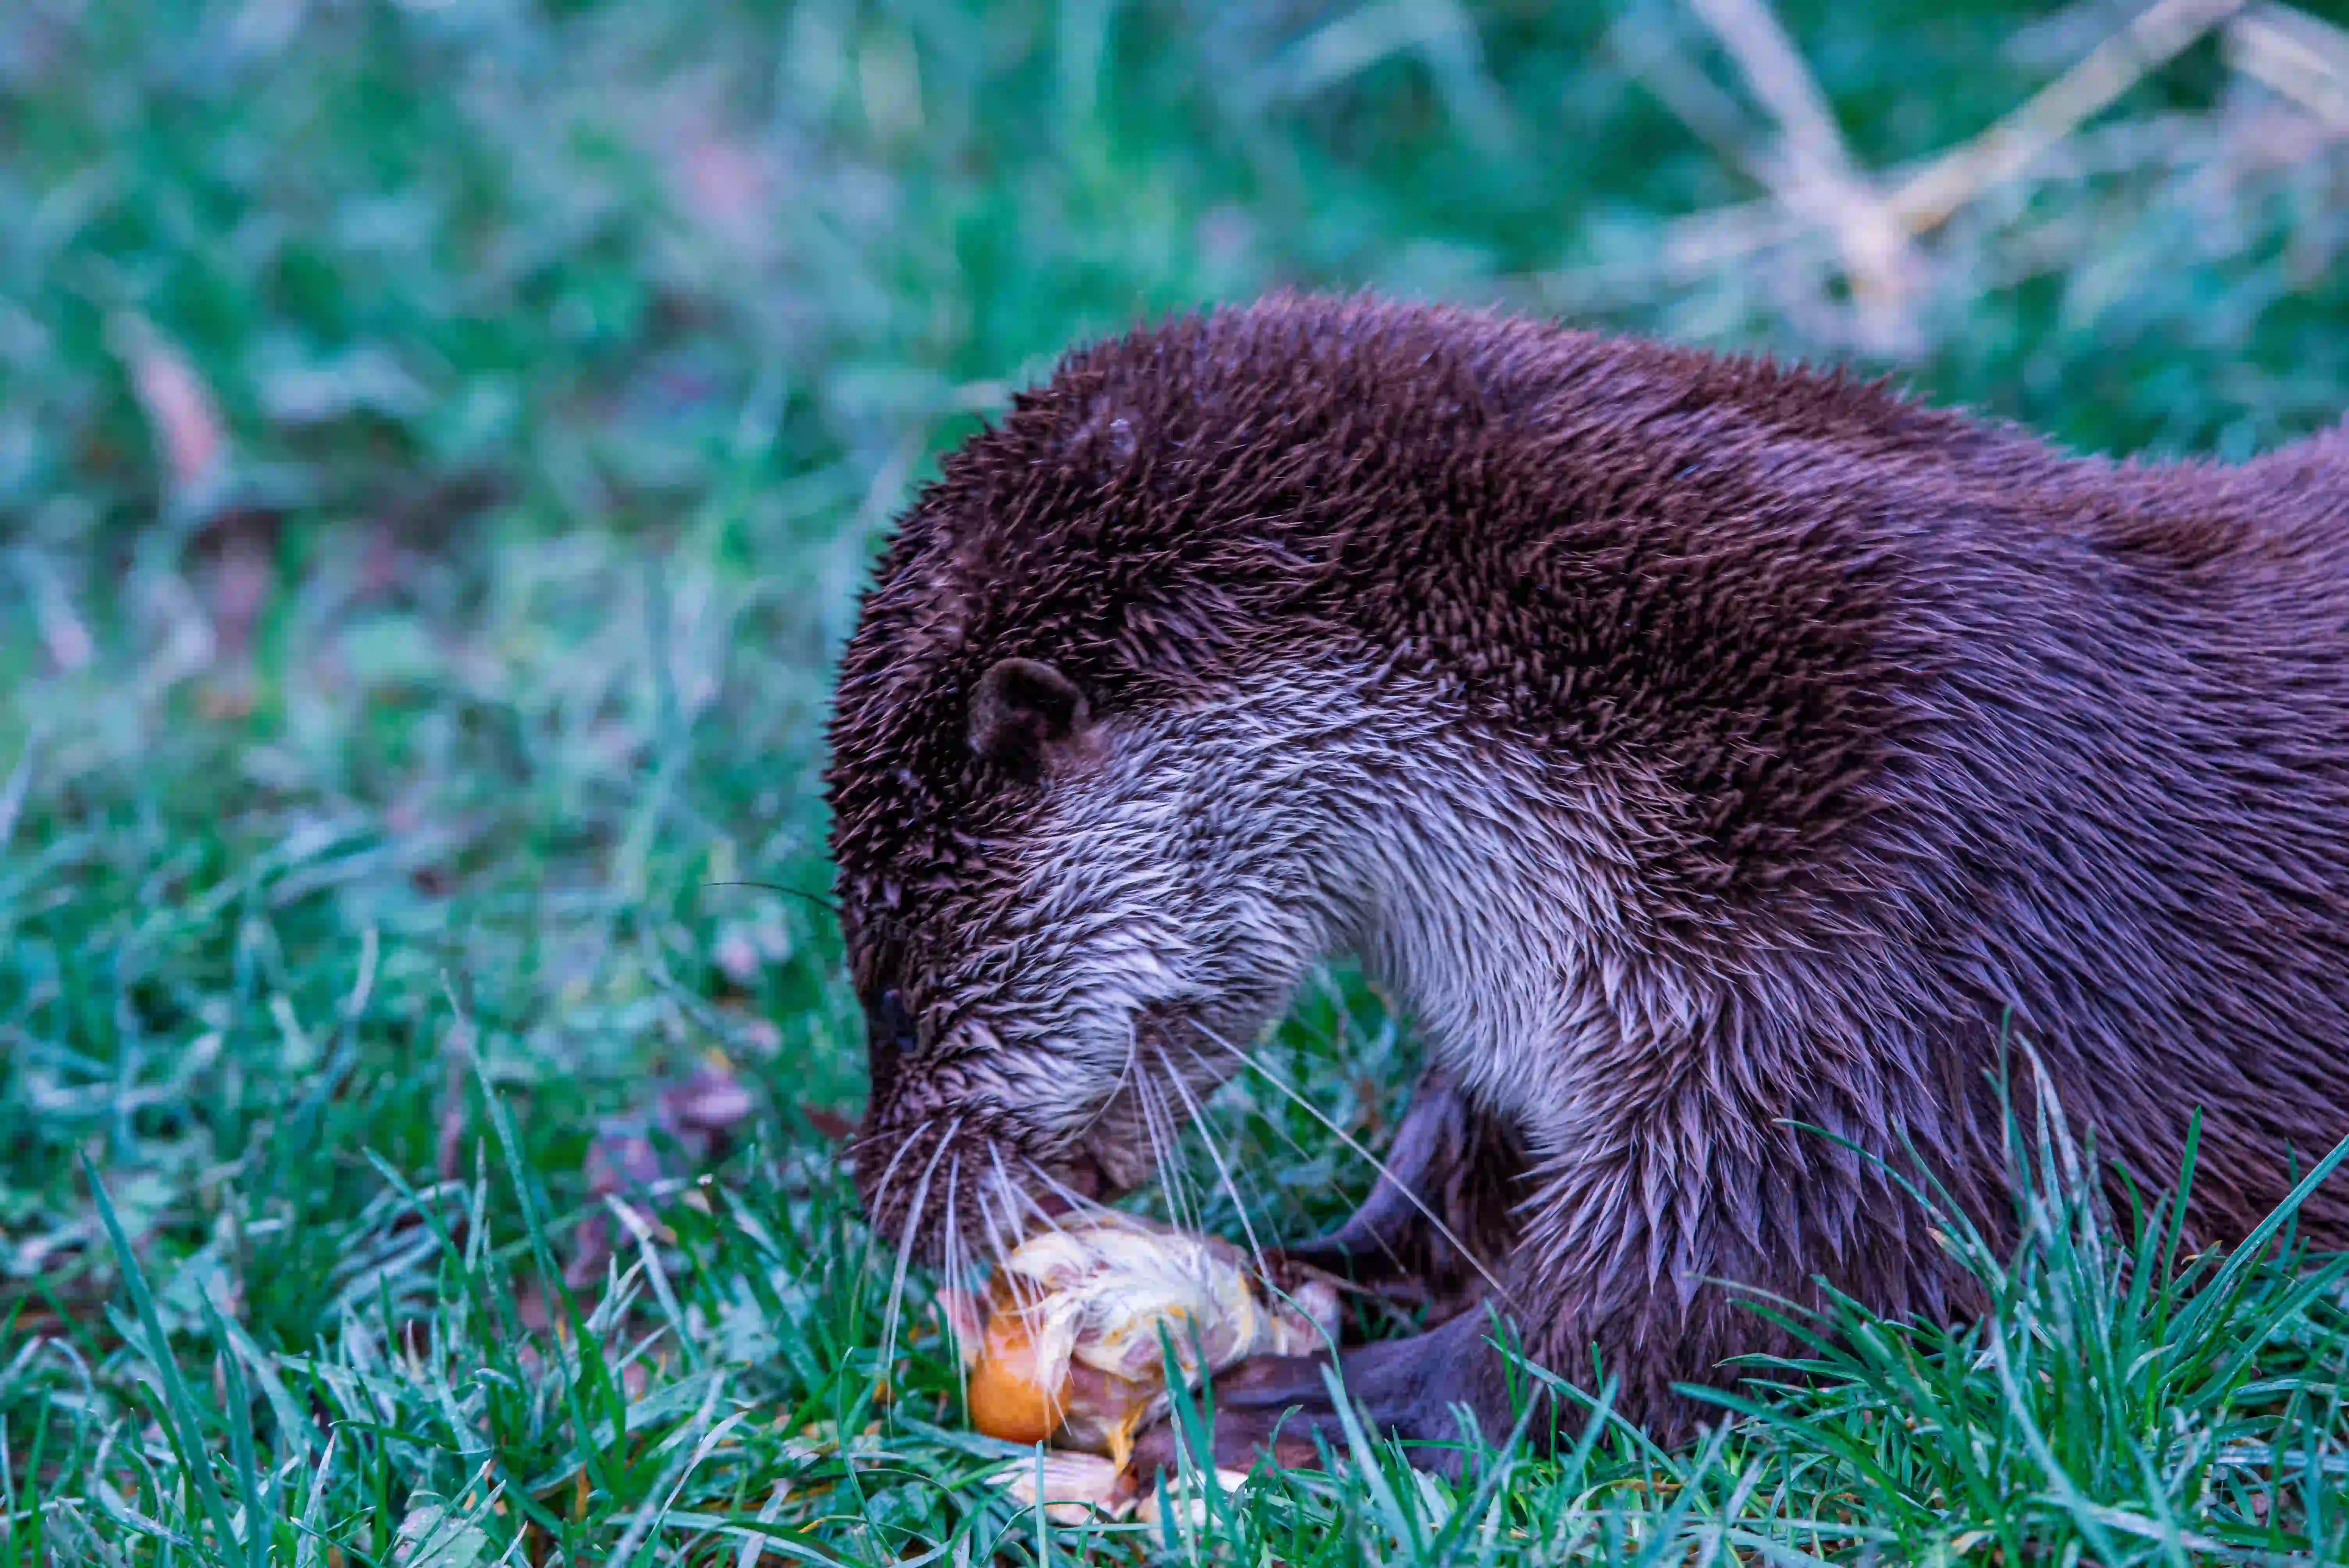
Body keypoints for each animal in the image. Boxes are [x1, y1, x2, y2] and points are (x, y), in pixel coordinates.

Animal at [823, 292, 2349, 1472]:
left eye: (887, 992)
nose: (888, 1215)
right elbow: (1472, 1161)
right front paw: (1320, 1267)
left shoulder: (1890, 954)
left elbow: (1727, 1290)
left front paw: (1321, 1405)